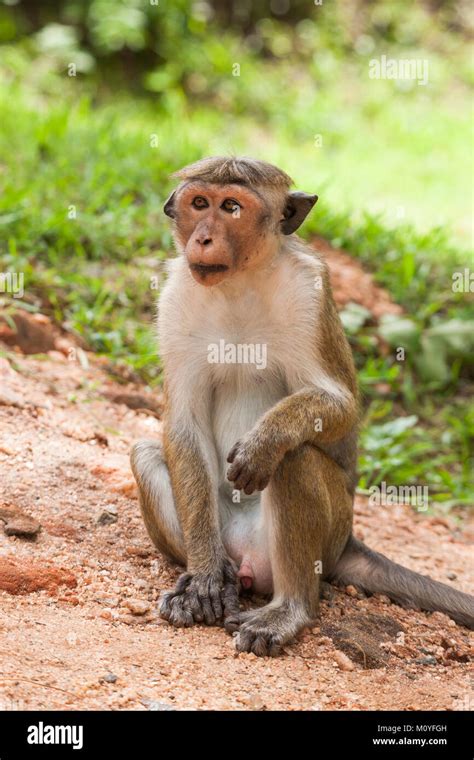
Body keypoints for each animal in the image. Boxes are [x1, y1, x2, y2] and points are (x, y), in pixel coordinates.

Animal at [130, 157, 474, 656]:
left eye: (231, 207)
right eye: (199, 203)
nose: (203, 238)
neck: (240, 281)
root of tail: (347, 541)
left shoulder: (309, 291)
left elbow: (340, 405)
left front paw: (264, 441)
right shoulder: (176, 297)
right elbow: (183, 424)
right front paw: (205, 576)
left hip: (328, 535)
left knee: (295, 460)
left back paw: (288, 610)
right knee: (146, 454)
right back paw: (219, 574)